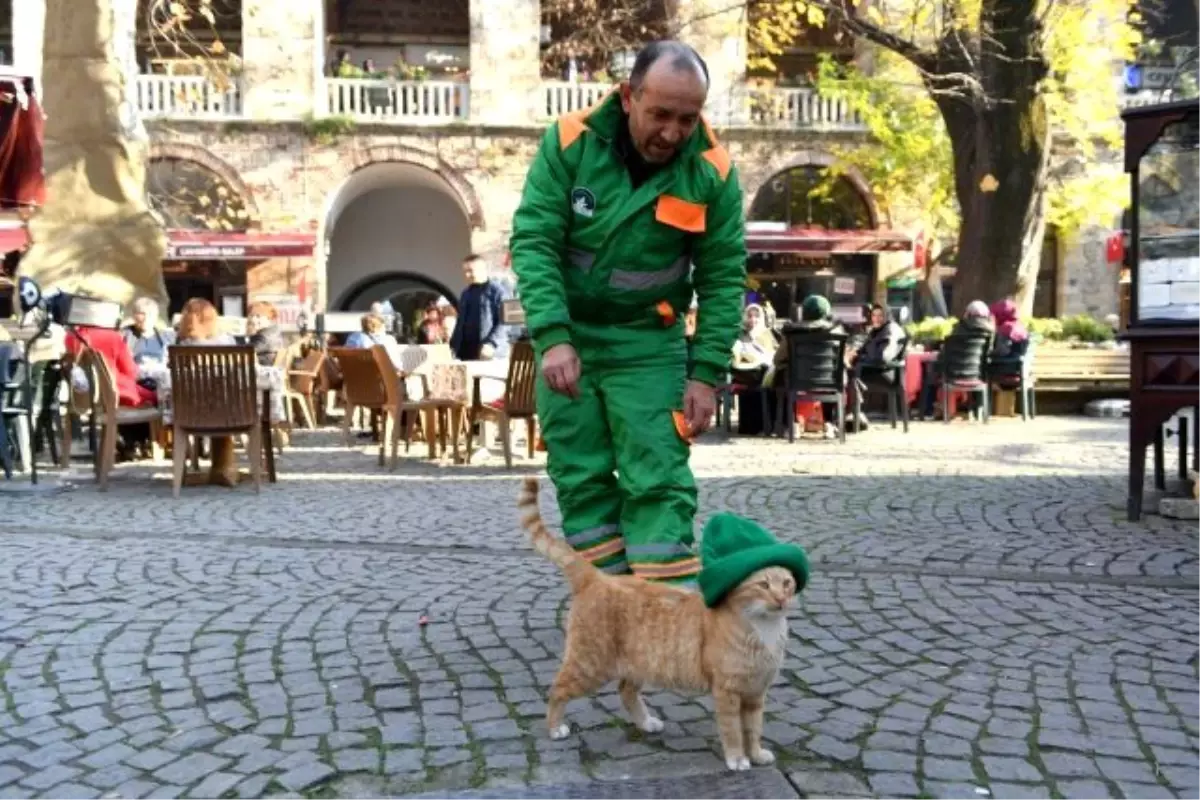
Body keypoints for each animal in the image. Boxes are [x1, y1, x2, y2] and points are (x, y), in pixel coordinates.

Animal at [516, 479, 796, 772]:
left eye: (787, 583)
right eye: (763, 585)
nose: (781, 598)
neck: (765, 630)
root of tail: (598, 577)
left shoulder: (755, 694)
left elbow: (753, 729)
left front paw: (756, 753)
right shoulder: (728, 692)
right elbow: (732, 731)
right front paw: (738, 758)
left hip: (637, 663)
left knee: (625, 691)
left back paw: (645, 722)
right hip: (589, 665)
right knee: (557, 689)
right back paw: (554, 727)